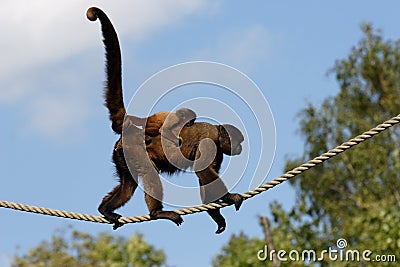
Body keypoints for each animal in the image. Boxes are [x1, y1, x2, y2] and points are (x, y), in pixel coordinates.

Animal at [88, 6, 244, 234]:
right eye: (238, 141)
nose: (240, 148)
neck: (217, 131)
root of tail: (132, 129)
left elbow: (204, 177)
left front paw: (217, 216)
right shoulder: (211, 140)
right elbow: (203, 170)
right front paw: (230, 197)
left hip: (122, 154)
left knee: (128, 186)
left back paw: (106, 209)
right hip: (135, 149)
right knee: (150, 173)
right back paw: (157, 213)